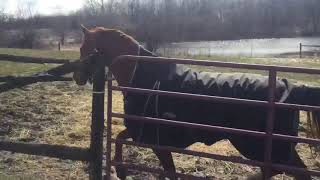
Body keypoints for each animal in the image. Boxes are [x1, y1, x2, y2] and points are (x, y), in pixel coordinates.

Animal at [74, 25, 320, 180]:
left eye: (85, 48)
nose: (77, 77)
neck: (142, 76)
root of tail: (289, 86)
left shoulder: (155, 141)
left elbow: (168, 170)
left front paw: (122, 171)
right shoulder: (143, 134)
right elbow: (119, 138)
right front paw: (122, 171)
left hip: (262, 148)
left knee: (288, 171)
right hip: (275, 149)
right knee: (295, 172)